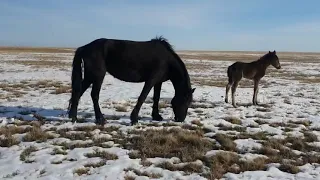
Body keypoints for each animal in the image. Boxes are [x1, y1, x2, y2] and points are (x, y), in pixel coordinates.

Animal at [67, 36, 195, 125]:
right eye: (185, 101)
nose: (181, 119)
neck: (167, 61)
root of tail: (84, 47)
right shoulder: (151, 80)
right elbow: (143, 97)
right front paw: (134, 119)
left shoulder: (158, 82)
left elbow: (156, 98)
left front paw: (156, 116)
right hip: (98, 76)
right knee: (94, 95)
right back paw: (100, 119)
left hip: (90, 76)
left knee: (78, 92)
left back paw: (73, 117)